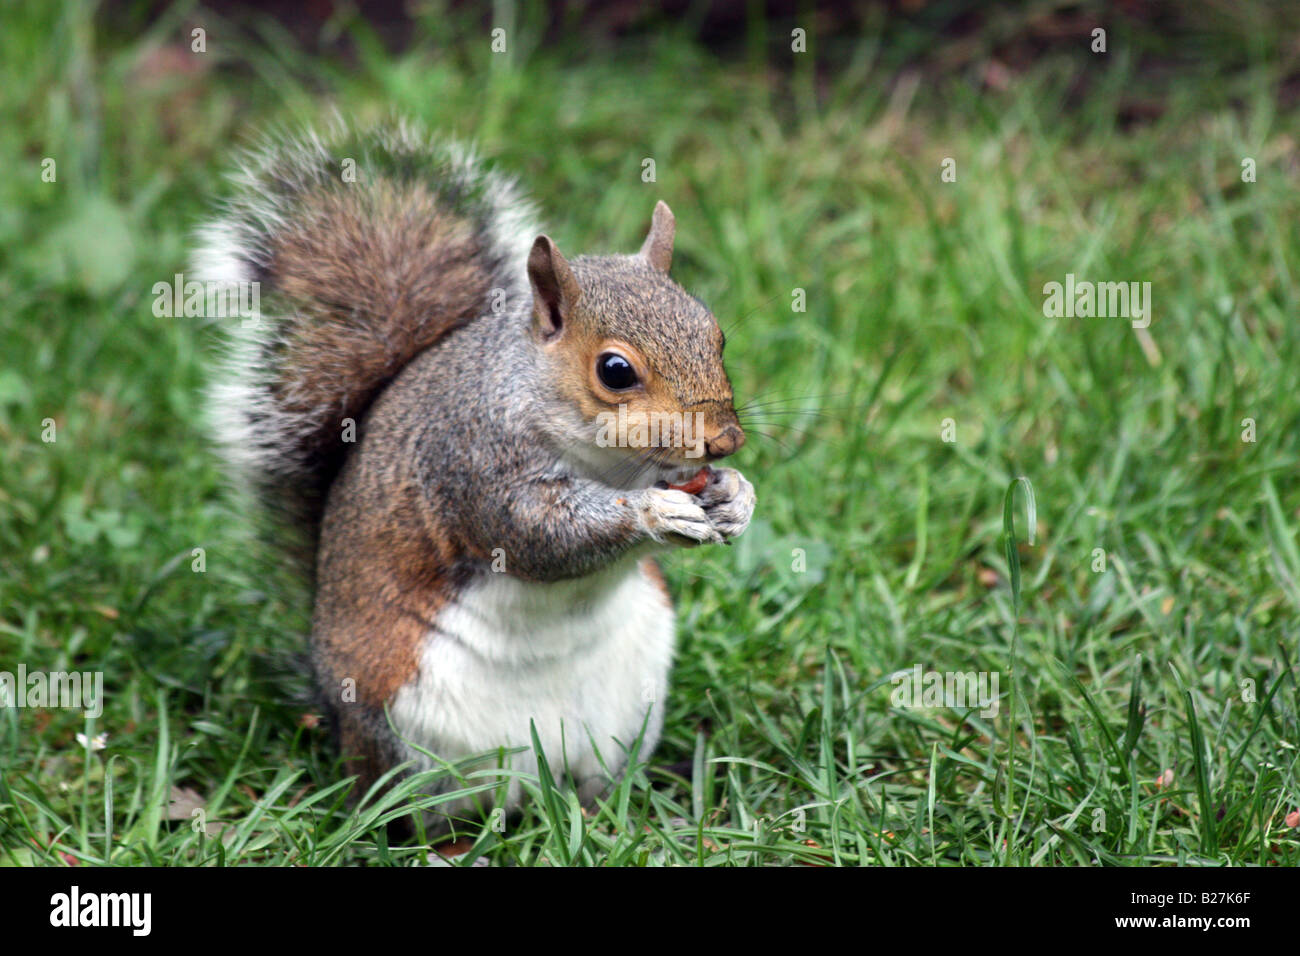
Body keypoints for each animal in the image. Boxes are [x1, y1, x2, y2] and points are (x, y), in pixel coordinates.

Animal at [193, 120, 756, 824]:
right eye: (615, 371)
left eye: (717, 336)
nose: (725, 441)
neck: (612, 464)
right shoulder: (471, 462)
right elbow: (538, 535)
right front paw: (654, 513)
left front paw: (737, 496)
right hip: (407, 736)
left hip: (631, 708)